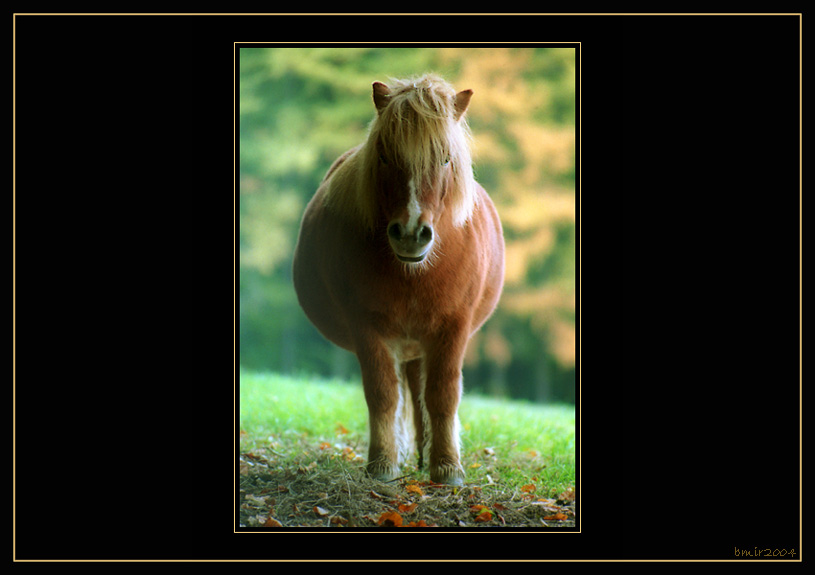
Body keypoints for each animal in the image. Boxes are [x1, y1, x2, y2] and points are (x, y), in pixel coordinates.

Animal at [294, 73, 504, 486]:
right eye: (385, 156)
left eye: (445, 158)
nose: (410, 233)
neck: (414, 274)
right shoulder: (369, 329)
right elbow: (383, 394)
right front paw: (383, 465)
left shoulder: (452, 329)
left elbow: (442, 394)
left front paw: (447, 467)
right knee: (405, 392)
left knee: (421, 390)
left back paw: (426, 455)